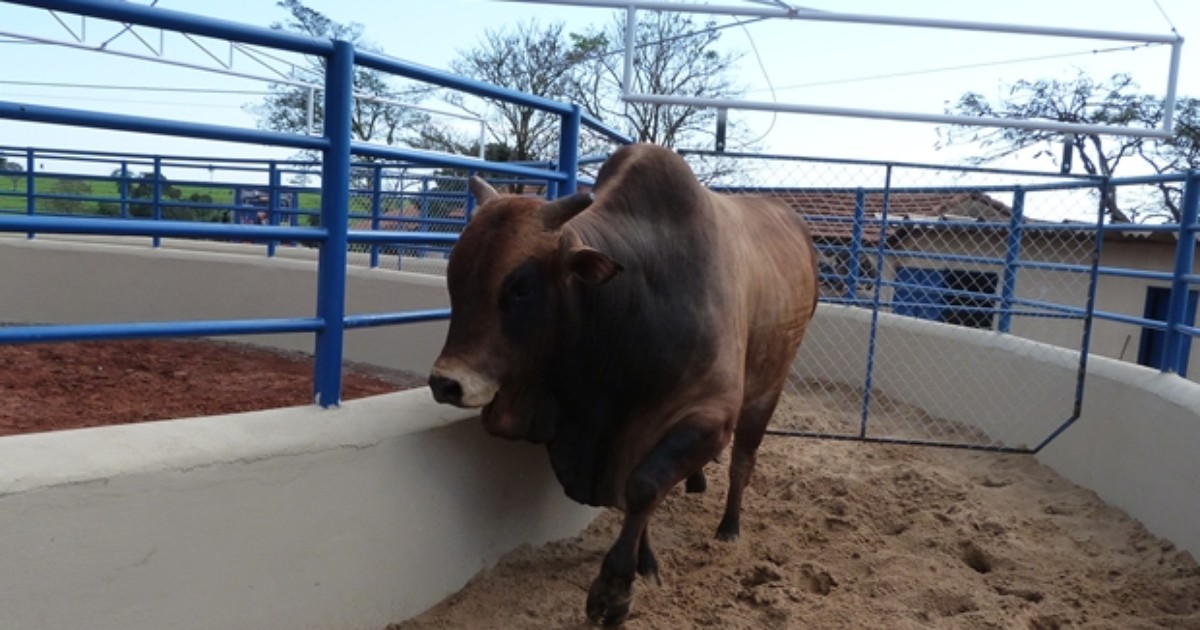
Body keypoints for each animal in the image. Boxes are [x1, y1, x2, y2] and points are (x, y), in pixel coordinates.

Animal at [427, 145, 820, 624]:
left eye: (521, 287)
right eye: (454, 274)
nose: (446, 382)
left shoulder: (709, 416)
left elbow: (643, 487)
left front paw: (614, 589)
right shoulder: (625, 430)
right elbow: (632, 492)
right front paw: (645, 563)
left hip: (768, 387)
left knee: (743, 460)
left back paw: (729, 527)